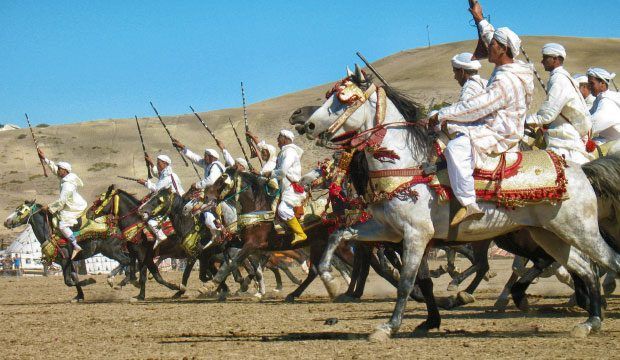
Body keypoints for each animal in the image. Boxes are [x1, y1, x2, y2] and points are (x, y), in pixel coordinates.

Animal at [302, 65, 620, 340]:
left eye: (344, 99)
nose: (308, 124)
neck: (406, 167)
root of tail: (581, 170)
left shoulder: (416, 235)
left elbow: (407, 282)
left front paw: (389, 327)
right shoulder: (388, 231)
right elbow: (338, 235)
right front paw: (331, 282)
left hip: (577, 230)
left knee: (607, 261)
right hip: (549, 235)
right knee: (584, 268)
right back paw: (589, 321)